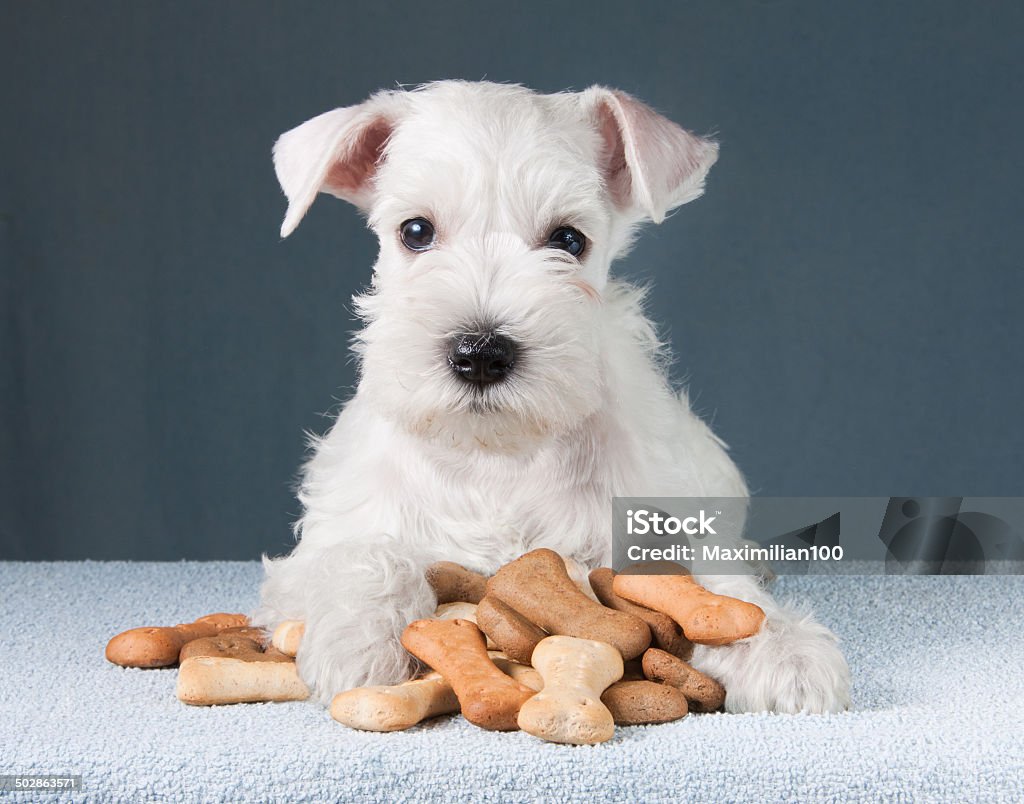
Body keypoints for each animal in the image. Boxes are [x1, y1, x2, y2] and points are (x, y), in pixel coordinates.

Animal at [251, 78, 851, 712]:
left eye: (568, 239)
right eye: (415, 232)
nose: (480, 353)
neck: (497, 457)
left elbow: (715, 586)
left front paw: (784, 649)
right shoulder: (323, 545)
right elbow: (365, 555)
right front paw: (361, 639)